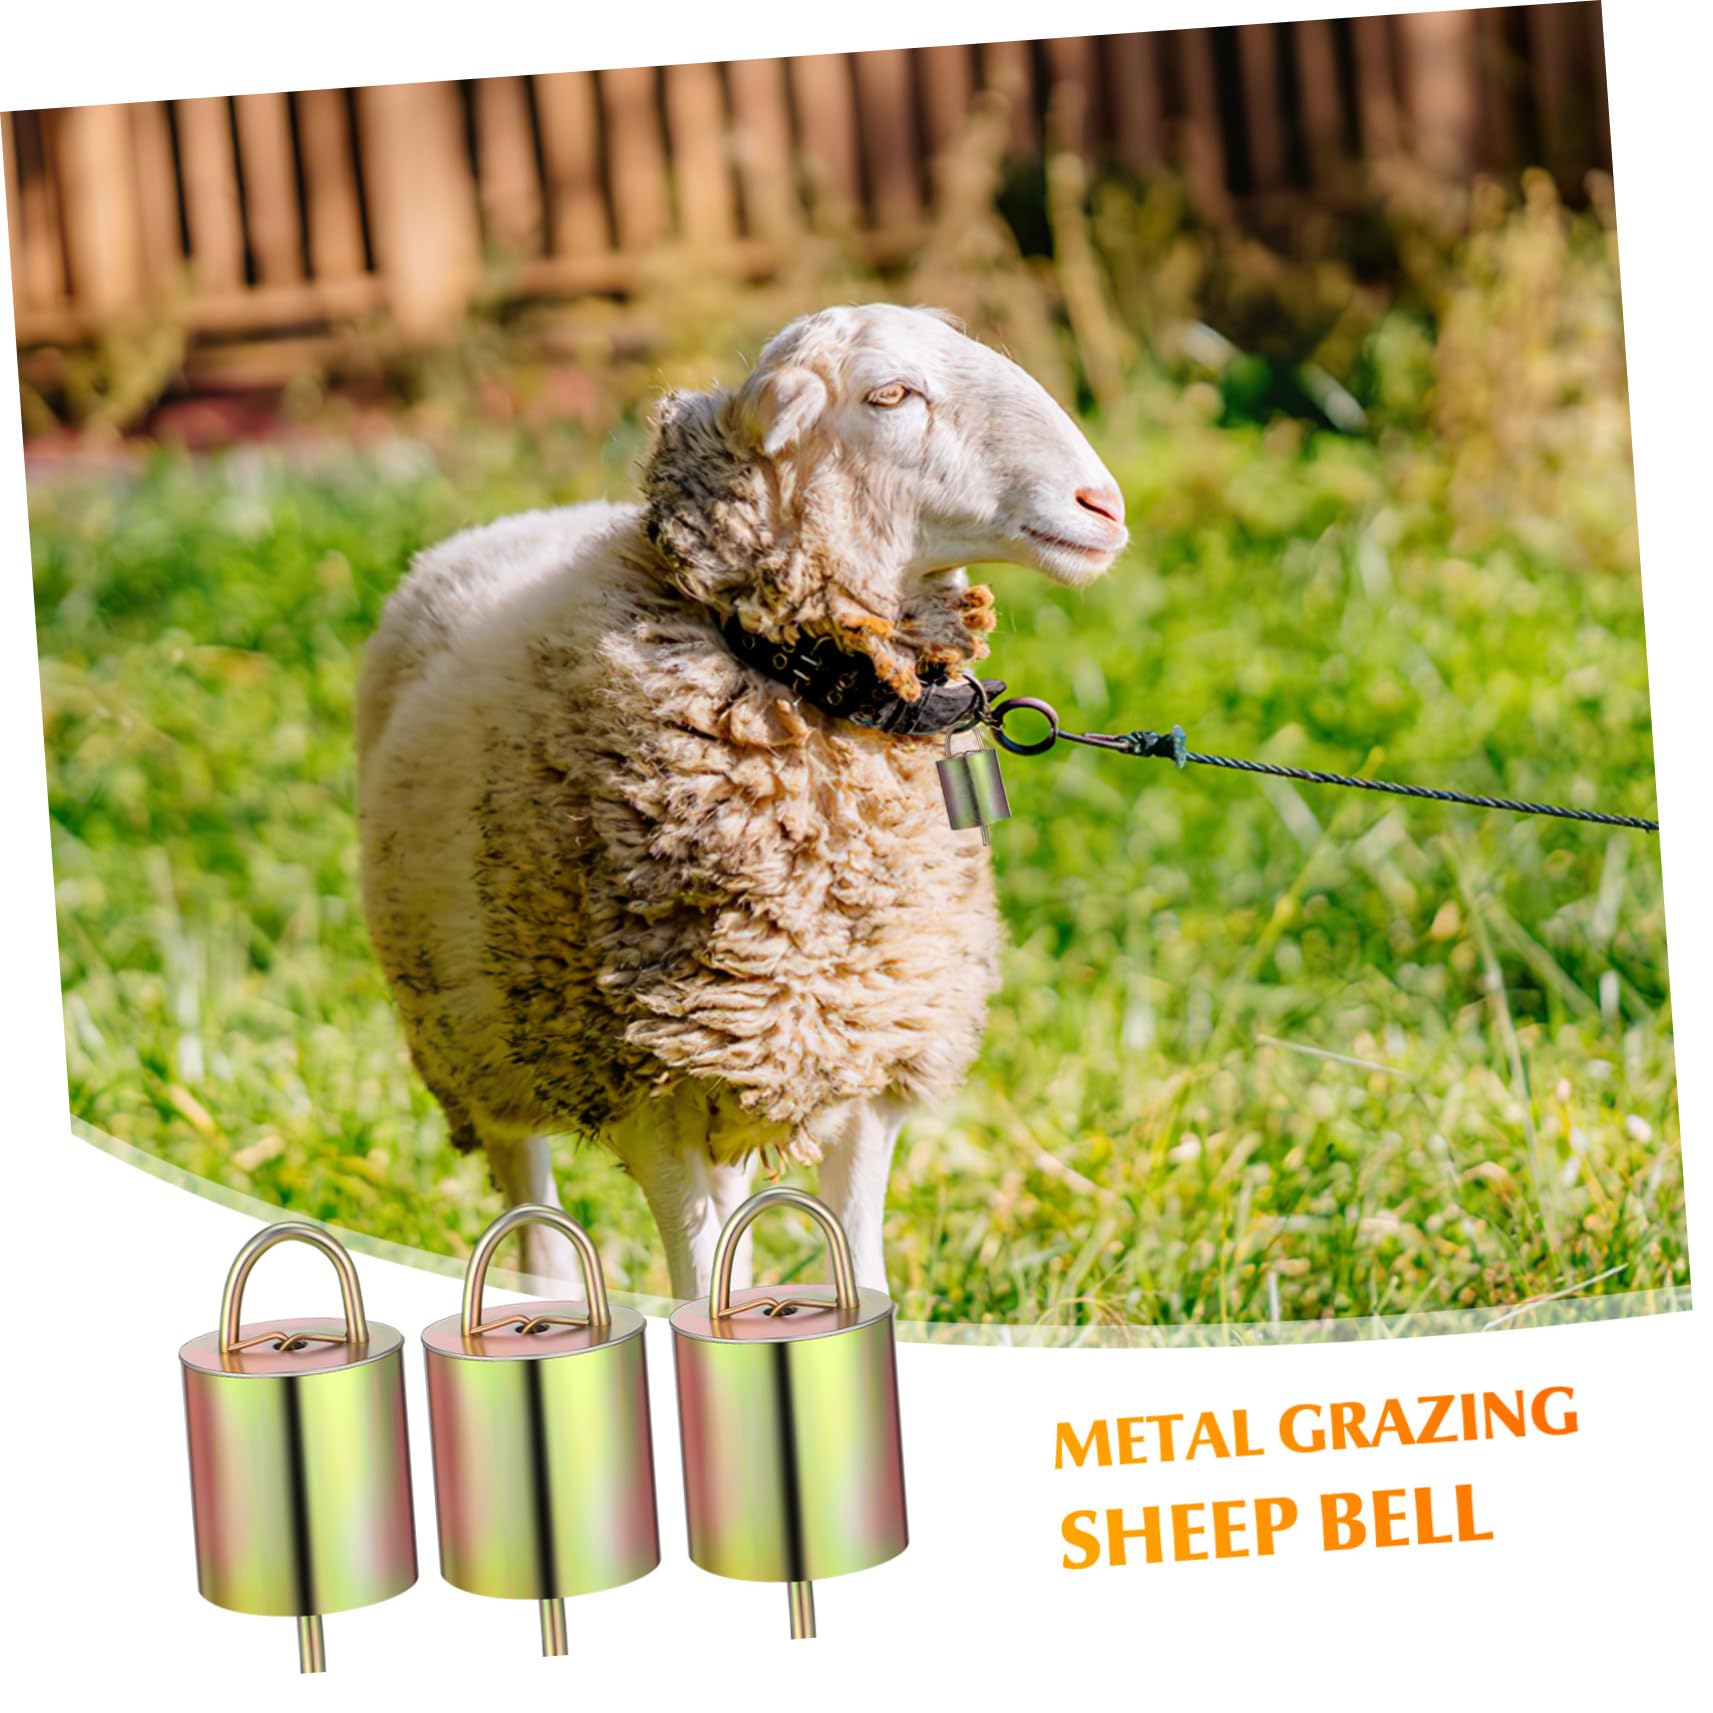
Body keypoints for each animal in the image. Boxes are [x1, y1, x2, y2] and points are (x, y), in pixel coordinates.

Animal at [357, 304, 1127, 1298]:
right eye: (890, 394)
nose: (1103, 507)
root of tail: (514, 520)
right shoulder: (652, 1083)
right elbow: (696, 1282)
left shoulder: (865, 1059)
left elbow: (855, 1268)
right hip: (481, 1034)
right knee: (529, 1188)